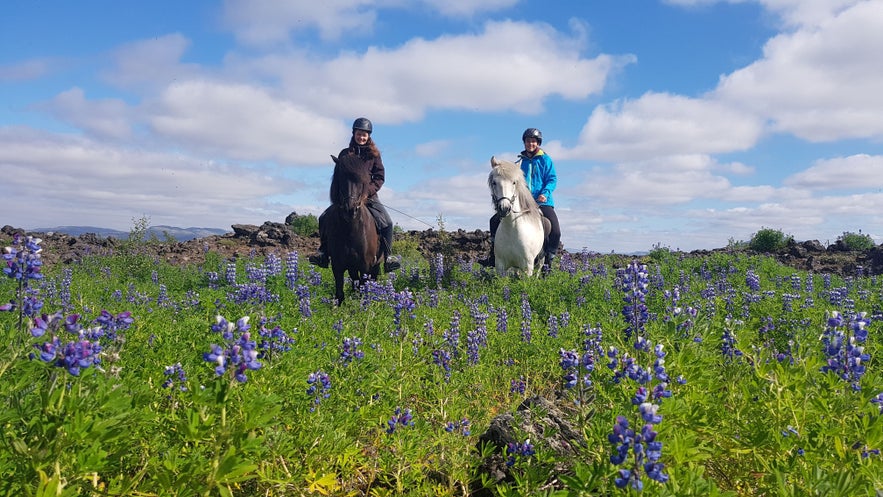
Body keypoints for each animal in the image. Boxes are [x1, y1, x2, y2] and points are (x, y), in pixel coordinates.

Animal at [322, 154, 384, 302]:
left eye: (363, 179)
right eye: (340, 177)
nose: (350, 210)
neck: (350, 230)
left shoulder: (365, 266)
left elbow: (363, 291)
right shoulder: (338, 265)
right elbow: (339, 294)